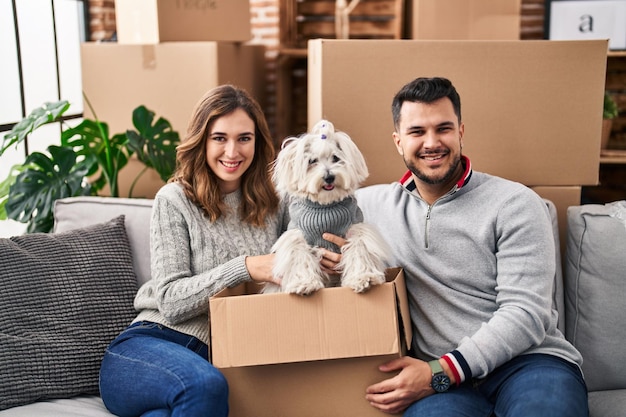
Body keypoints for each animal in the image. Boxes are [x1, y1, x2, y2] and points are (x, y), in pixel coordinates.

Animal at [262, 118, 390, 294]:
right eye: (312, 161)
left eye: (335, 158)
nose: (329, 177)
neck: (325, 206)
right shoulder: (296, 236)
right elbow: (300, 255)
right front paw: (304, 283)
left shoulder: (356, 228)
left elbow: (359, 248)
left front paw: (363, 277)